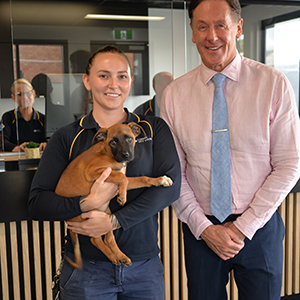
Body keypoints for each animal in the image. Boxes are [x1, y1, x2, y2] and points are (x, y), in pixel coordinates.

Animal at [55, 123, 173, 268]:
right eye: (113, 142)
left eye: (129, 139)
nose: (125, 155)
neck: (107, 152)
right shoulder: (93, 171)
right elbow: (122, 177)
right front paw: (122, 196)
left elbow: (141, 179)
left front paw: (161, 180)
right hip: (90, 214)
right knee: (96, 240)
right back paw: (114, 256)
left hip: (106, 213)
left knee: (108, 238)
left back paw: (120, 257)